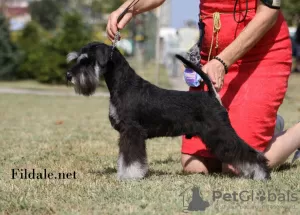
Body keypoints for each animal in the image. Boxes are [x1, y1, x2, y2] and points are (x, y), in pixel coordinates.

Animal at [67, 41, 270, 180]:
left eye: (86, 61)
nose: (69, 75)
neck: (123, 85)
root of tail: (211, 96)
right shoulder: (126, 133)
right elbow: (124, 157)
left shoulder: (132, 131)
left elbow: (131, 158)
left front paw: (130, 175)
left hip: (220, 133)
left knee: (247, 151)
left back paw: (261, 173)